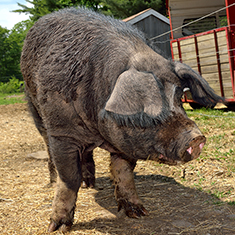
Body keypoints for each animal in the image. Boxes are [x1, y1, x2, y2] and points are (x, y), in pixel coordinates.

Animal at [20, 6, 222, 231]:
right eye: (147, 106)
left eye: (179, 98)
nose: (196, 138)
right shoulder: (62, 132)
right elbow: (69, 178)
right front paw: (58, 227)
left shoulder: (125, 143)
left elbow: (124, 172)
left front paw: (138, 213)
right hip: (36, 111)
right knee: (49, 149)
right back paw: (56, 182)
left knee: (87, 155)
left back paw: (90, 184)